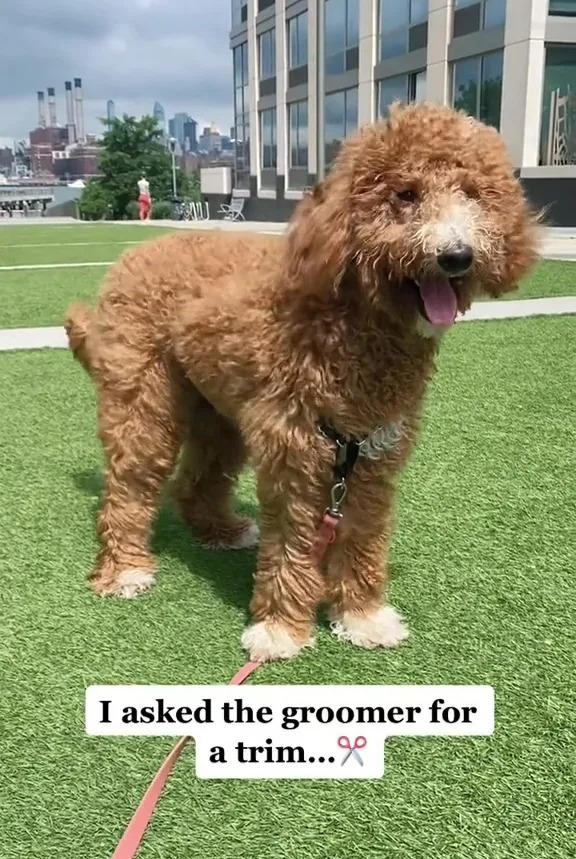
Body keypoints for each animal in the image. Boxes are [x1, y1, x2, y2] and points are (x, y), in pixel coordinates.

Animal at [65, 102, 536, 664]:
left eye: (473, 194)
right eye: (405, 194)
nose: (457, 255)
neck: (349, 324)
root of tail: (136, 253)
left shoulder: (371, 456)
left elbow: (361, 537)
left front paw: (361, 616)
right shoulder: (296, 450)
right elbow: (292, 543)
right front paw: (281, 629)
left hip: (218, 411)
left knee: (196, 479)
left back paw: (220, 530)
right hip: (142, 397)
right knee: (130, 482)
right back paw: (125, 569)